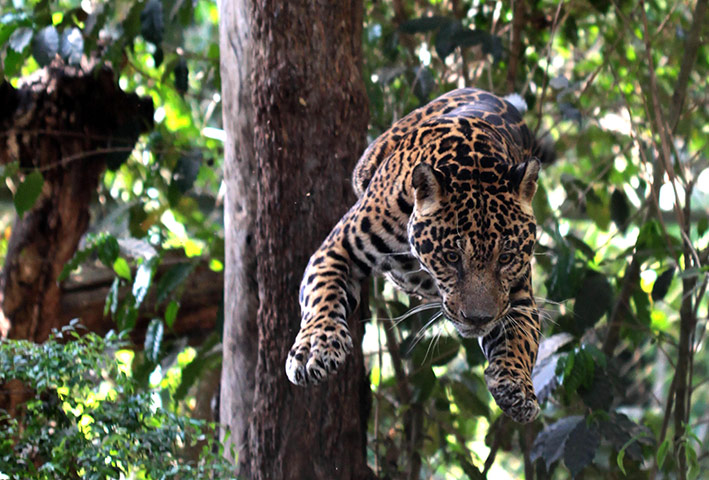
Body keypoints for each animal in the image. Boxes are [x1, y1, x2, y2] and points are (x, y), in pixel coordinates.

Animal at [285, 87, 554, 423]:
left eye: (505, 258)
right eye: (451, 257)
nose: (479, 319)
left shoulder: (517, 297)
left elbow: (523, 339)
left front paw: (517, 387)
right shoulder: (337, 249)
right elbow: (322, 295)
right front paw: (314, 348)